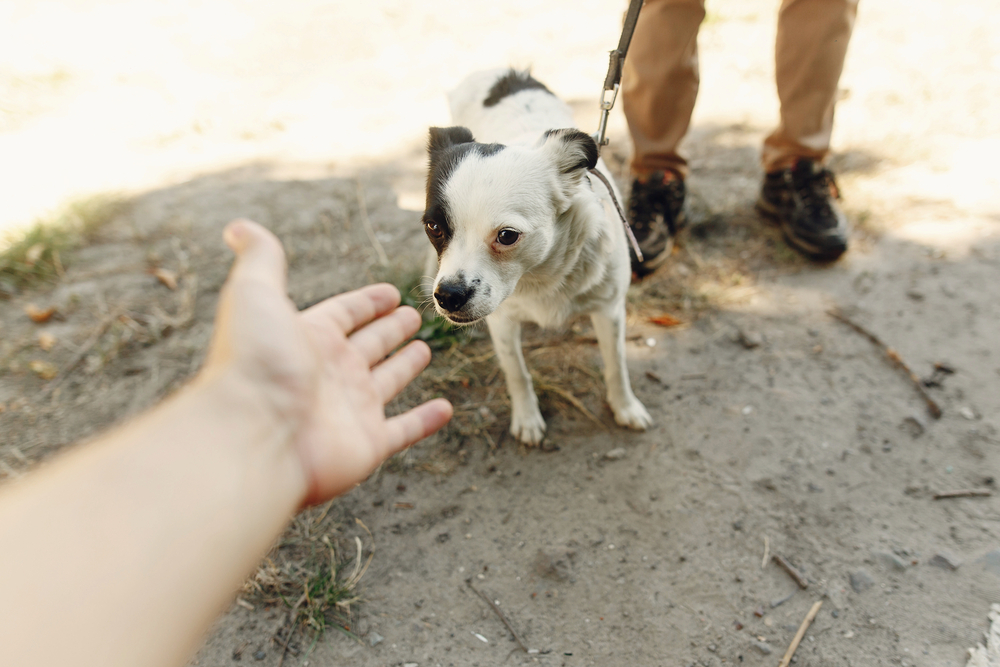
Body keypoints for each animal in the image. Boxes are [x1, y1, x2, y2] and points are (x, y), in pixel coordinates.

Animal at [420, 68, 648, 446]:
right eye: (434, 226)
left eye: (507, 236)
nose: (448, 296)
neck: (540, 274)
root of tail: (504, 72)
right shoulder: (502, 321)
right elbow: (517, 372)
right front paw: (527, 417)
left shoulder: (610, 310)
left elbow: (616, 364)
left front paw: (624, 406)